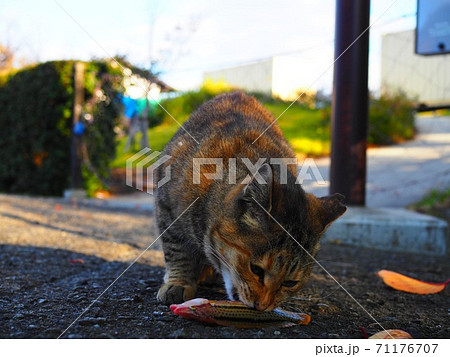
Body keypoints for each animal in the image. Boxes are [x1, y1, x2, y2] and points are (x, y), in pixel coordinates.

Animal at [154, 91, 344, 308]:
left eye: (289, 282)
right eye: (256, 269)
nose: (262, 307)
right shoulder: (167, 210)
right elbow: (177, 251)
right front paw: (178, 283)